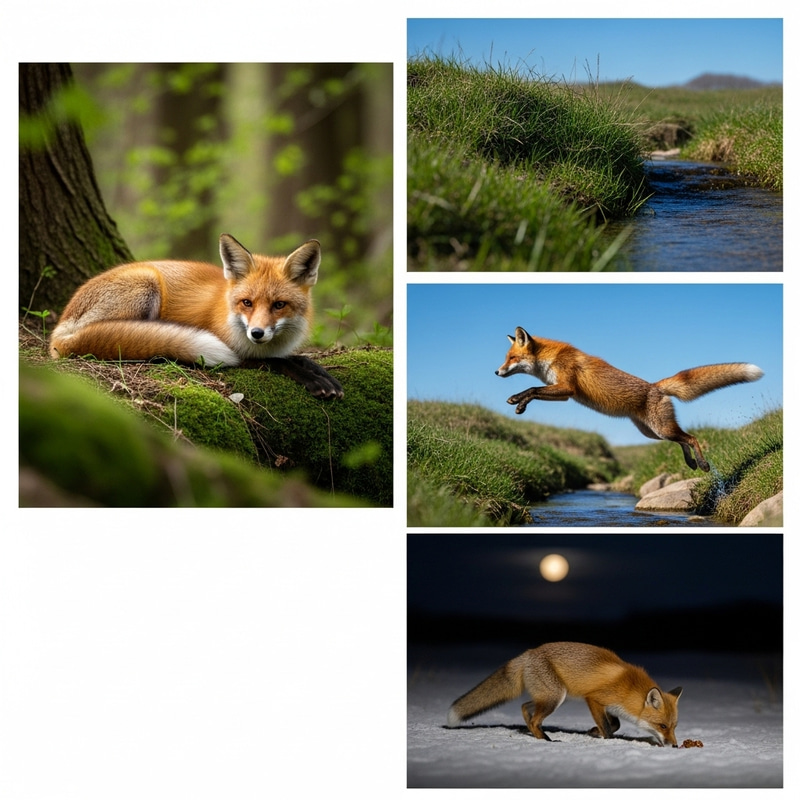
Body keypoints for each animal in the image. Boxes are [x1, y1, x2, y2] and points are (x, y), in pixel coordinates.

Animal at [49, 234, 343, 398]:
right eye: (247, 303)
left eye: (279, 305)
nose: (257, 333)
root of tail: (58, 331)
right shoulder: (237, 351)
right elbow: (278, 362)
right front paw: (313, 380)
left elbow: (297, 358)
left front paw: (322, 375)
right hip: (146, 283)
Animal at [447, 642, 683, 747]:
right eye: (663, 726)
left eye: (674, 727)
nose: (674, 746)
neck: (629, 689)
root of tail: (528, 653)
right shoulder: (594, 699)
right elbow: (609, 729)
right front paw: (606, 739)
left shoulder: (609, 706)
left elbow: (615, 724)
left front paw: (593, 731)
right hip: (556, 696)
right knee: (535, 718)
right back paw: (547, 740)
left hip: (554, 697)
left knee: (525, 707)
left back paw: (533, 732)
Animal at [496, 326, 763, 471]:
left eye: (511, 358)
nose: (496, 372)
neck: (552, 359)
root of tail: (656, 386)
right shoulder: (561, 392)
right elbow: (534, 390)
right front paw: (518, 403)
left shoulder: (567, 388)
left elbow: (533, 389)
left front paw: (517, 401)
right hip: (653, 433)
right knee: (683, 439)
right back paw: (691, 463)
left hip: (661, 429)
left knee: (691, 437)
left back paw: (703, 464)